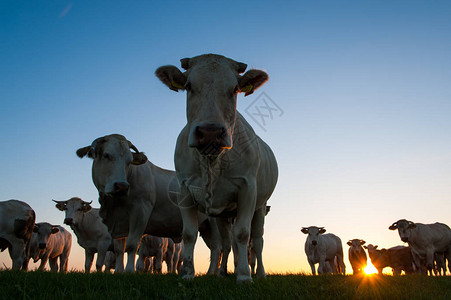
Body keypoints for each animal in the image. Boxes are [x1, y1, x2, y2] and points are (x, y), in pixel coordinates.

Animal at [77, 135, 222, 274]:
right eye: (106, 155)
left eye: (129, 161)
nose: (122, 186)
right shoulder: (119, 222)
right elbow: (119, 250)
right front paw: (119, 271)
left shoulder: (140, 212)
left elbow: (131, 245)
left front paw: (129, 271)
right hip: (205, 227)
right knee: (214, 249)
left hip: (214, 223)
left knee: (217, 248)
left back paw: (211, 273)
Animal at [157, 53, 280, 284]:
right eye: (188, 86)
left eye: (235, 88)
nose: (210, 132)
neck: (212, 161)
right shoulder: (185, 190)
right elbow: (189, 234)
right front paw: (187, 273)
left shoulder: (248, 190)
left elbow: (243, 234)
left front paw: (244, 275)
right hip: (222, 215)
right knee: (226, 243)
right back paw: (222, 272)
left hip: (260, 206)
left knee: (257, 241)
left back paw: (260, 273)